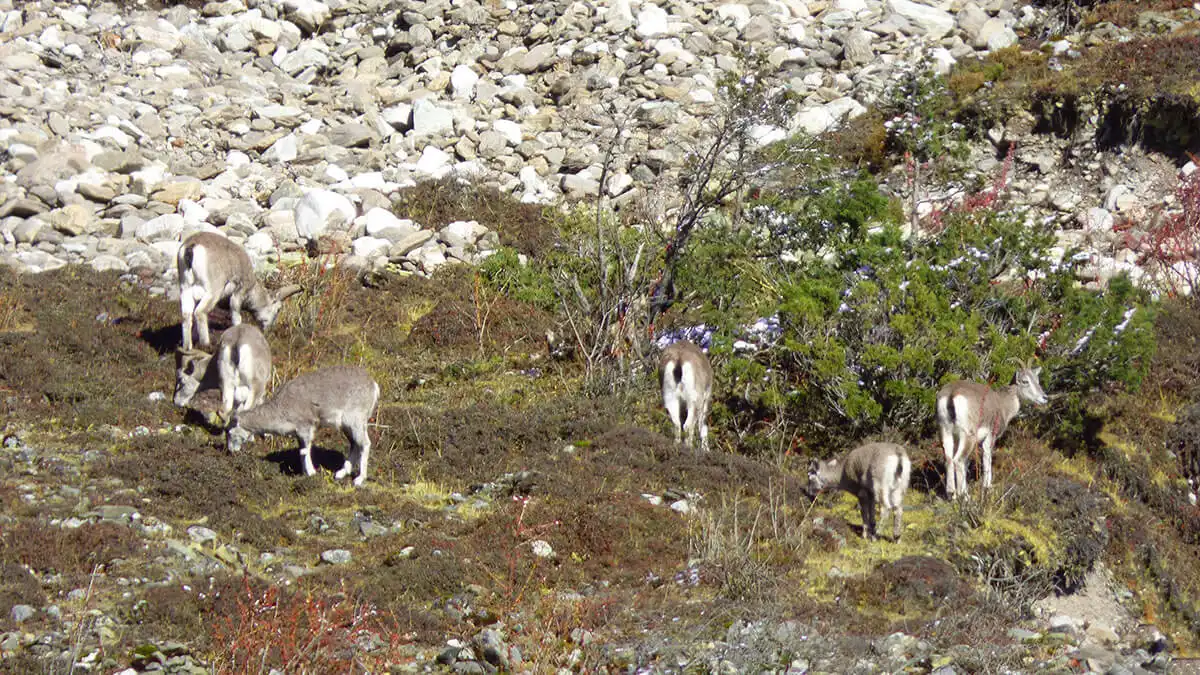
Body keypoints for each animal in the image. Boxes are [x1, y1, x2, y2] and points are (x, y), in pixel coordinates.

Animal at [226, 366, 379, 487]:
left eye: (229, 432)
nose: (230, 450)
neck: (281, 408)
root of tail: (374, 386)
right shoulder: (299, 434)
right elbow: (301, 451)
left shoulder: (305, 427)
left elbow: (305, 450)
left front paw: (311, 473)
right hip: (348, 426)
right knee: (355, 444)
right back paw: (340, 474)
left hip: (355, 421)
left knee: (365, 444)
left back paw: (359, 480)